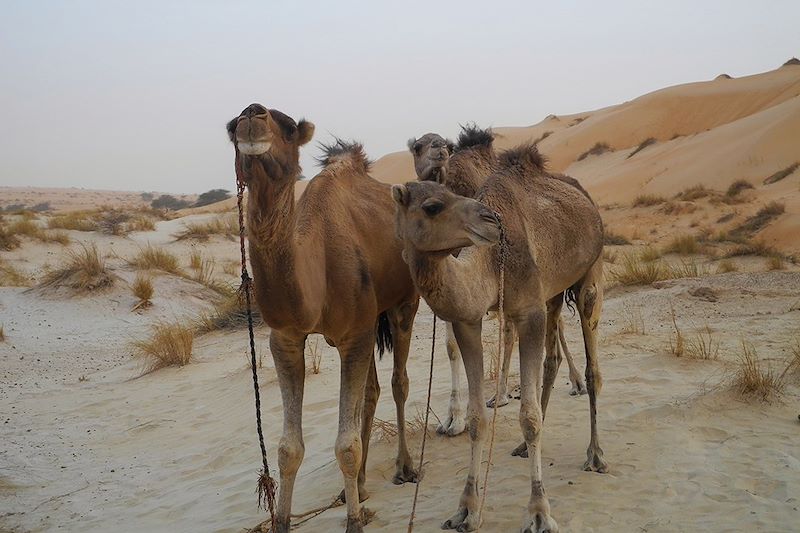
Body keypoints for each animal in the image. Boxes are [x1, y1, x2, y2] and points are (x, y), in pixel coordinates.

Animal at [227, 104, 418, 532]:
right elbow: (287, 449)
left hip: (404, 302)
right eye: (231, 127)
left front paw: (354, 522)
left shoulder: (355, 336)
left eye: (287, 126)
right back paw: (357, 488)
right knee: (372, 392)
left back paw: (405, 467)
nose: (251, 114)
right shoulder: (285, 339)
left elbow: (346, 445)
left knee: (398, 382)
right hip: (372, 318)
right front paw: (283, 521)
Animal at [410, 128, 584, 436]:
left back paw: (574, 382)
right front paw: (452, 420)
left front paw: (470, 412)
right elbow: (452, 347)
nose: (439, 147)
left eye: (447, 145)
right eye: (417, 147)